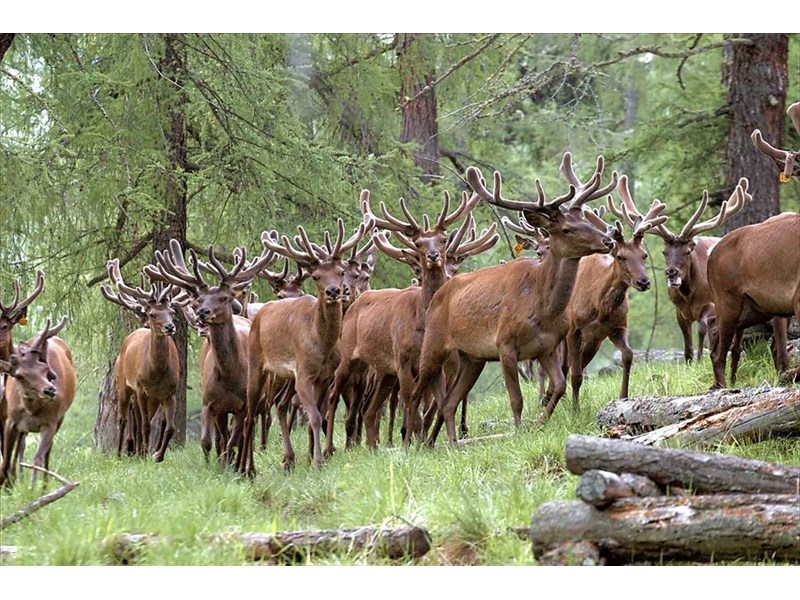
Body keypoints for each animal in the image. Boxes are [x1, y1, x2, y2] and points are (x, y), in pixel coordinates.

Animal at [0, 318, 76, 488]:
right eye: (19, 376)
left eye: (45, 368)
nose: (51, 390)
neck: (31, 410)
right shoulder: (10, 421)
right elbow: (6, 459)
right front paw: (6, 486)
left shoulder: (50, 423)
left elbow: (37, 459)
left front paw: (32, 489)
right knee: (20, 448)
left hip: (60, 418)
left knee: (47, 451)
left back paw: (44, 487)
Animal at [99, 260, 184, 462]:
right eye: (152, 313)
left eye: (171, 311)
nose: (170, 327)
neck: (157, 373)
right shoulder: (141, 388)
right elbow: (145, 424)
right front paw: (144, 455)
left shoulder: (169, 392)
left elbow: (169, 427)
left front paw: (157, 455)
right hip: (123, 384)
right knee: (123, 419)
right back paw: (120, 453)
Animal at [145, 239, 276, 464]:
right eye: (199, 298)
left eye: (224, 297)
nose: (202, 313)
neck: (231, 377)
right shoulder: (210, 402)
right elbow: (207, 441)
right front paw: (212, 463)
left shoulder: (243, 406)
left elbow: (234, 440)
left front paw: (230, 462)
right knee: (223, 435)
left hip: (259, 400)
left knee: (245, 433)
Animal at [238, 213, 376, 476]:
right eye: (316, 276)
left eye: (340, 272)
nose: (335, 291)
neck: (322, 344)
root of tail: (259, 315)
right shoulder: (303, 372)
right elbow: (313, 415)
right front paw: (318, 460)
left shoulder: (323, 376)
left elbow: (319, 413)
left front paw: (314, 454)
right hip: (257, 365)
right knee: (249, 416)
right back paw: (247, 468)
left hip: (284, 376)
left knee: (280, 405)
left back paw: (288, 458)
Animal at [412, 155, 620, 446]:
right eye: (567, 230)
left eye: (587, 222)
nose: (608, 240)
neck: (541, 308)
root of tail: (436, 296)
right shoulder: (505, 344)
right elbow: (516, 399)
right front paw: (519, 433)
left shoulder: (547, 347)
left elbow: (559, 386)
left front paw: (539, 423)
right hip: (433, 344)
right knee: (414, 393)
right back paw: (409, 441)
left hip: (472, 358)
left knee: (449, 402)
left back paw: (451, 444)